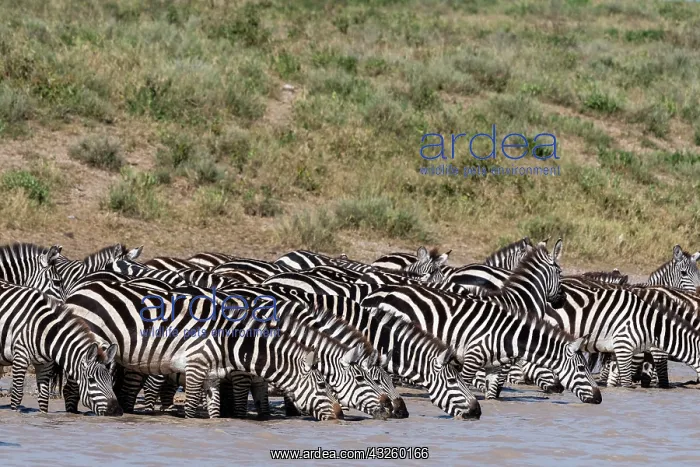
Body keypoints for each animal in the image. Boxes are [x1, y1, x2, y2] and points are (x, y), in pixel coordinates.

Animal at [64, 280, 345, 420]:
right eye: (322, 385)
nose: (338, 415)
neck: (229, 342)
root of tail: (79, 290)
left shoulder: (212, 376)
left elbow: (215, 414)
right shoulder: (195, 367)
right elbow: (190, 410)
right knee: (71, 384)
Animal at [360, 284, 601, 404]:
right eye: (582, 368)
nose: (599, 399)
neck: (506, 335)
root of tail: (377, 293)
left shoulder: (494, 366)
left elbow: (492, 394)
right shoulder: (472, 357)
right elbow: (464, 383)